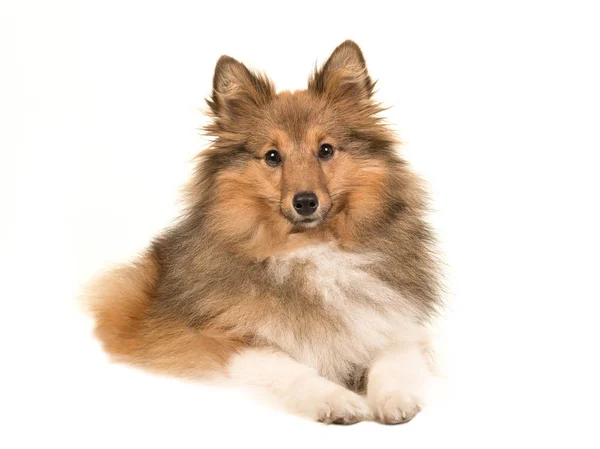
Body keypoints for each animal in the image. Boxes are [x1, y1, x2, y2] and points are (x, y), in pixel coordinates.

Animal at [86, 41, 440, 424]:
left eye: (326, 150)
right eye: (272, 156)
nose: (305, 202)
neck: (309, 249)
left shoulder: (395, 326)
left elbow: (393, 358)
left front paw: (395, 398)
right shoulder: (218, 341)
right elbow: (289, 368)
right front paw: (335, 400)